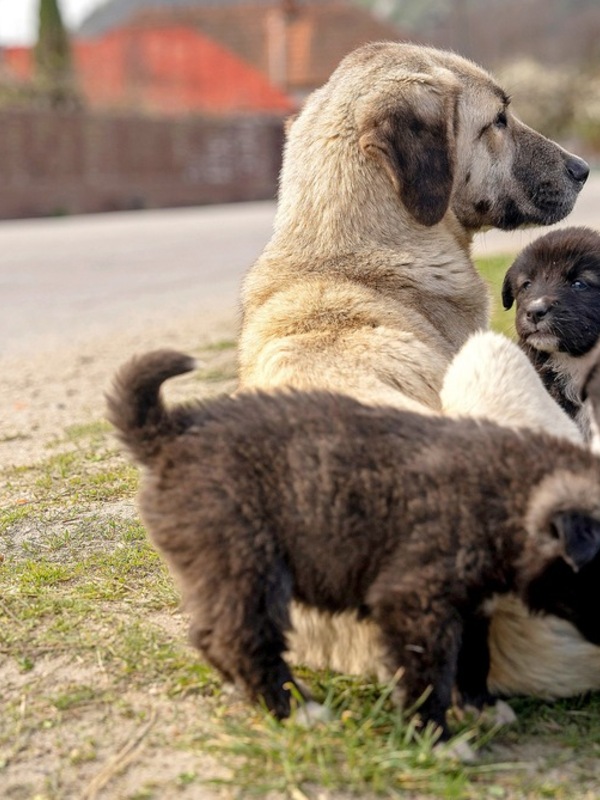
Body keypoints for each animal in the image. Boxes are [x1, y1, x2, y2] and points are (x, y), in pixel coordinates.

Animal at [108, 350, 600, 744]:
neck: (507, 491)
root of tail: (171, 431)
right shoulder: (414, 601)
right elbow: (428, 676)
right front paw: (435, 739)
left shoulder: (475, 603)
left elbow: (475, 656)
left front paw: (481, 707)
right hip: (245, 561)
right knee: (242, 637)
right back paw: (297, 710)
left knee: (209, 633)